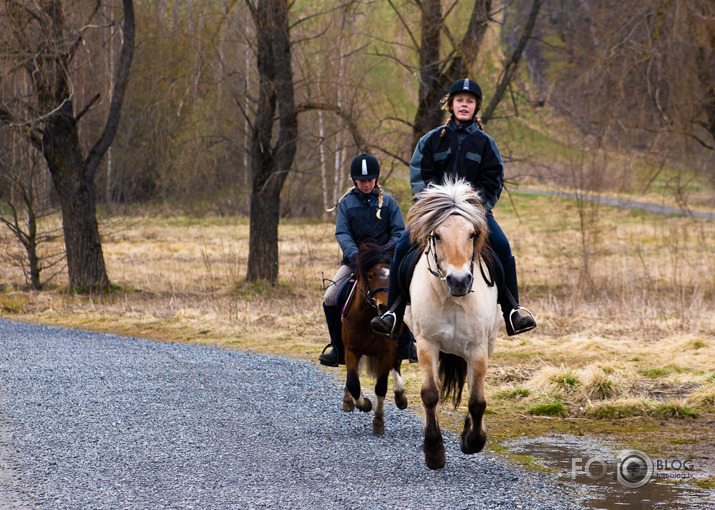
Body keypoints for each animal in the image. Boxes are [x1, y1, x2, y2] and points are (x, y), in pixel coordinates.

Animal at [342, 241, 408, 432]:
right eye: (370, 276)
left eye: (392, 276)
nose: (385, 307)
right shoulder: (351, 350)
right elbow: (353, 382)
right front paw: (364, 404)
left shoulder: (387, 352)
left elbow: (381, 387)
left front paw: (378, 421)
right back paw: (348, 400)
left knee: (396, 365)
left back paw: (400, 396)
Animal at [406, 180, 500, 470]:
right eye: (436, 235)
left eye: (472, 234)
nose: (459, 281)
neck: (452, 298)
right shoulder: (427, 344)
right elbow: (430, 394)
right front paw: (434, 451)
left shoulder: (478, 347)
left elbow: (477, 399)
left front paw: (473, 441)